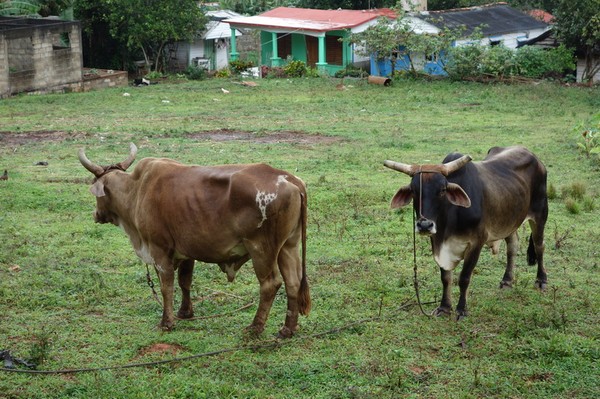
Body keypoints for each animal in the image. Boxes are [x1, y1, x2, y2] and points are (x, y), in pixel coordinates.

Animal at [78, 144, 310, 338]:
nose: (96, 214)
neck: (136, 190)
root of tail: (290, 180)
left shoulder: (160, 251)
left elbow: (167, 286)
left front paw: (167, 322)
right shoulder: (186, 251)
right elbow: (184, 282)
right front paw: (185, 312)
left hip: (261, 249)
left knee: (270, 284)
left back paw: (256, 327)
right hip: (289, 246)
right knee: (293, 282)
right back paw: (287, 329)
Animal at [384, 148, 548, 320]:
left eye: (442, 190)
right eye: (414, 191)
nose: (424, 225)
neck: (450, 218)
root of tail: (533, 156)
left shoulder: (476, 243)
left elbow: (464, 278)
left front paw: (462, 309)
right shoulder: (437, 243)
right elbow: (446, 278)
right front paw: (444, 307)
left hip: (540, 214)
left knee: (539, 246)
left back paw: (541, 280)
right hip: (510, 220)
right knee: (512, 246)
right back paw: (507, 281)